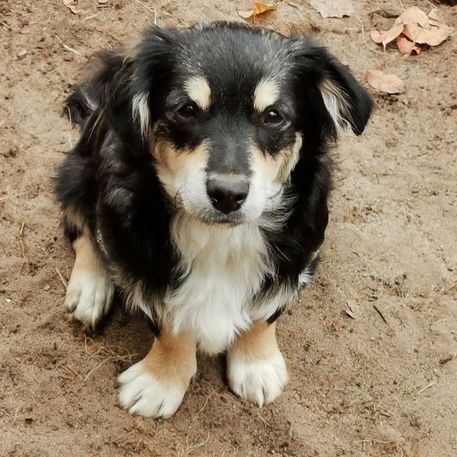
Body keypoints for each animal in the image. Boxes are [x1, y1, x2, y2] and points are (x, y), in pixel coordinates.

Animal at [55, 23, 372, 418]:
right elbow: (169, 324)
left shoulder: (299, 254)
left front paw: (256, 365)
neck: (221, 238)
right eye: (187, 110)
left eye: (274, 115)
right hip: (80, 172)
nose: (227, 194)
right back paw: (91, 288)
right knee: (82, 226)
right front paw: (161, 381)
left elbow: (264, 313)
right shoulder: (145, 260)